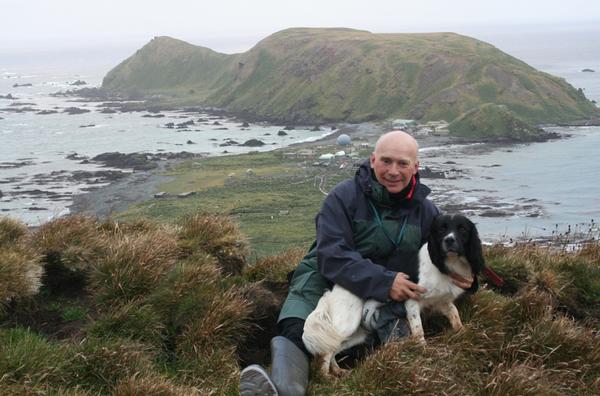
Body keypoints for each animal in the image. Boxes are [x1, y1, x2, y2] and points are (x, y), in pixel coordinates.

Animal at [304, 213, 488, 378]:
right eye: (441, 229)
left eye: (462, 229)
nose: (449, 240)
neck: (446, 265)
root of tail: (332, 292)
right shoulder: (411, 300)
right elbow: (418, 330)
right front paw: (424, 351)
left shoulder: (440, 302)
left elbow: (455, 314)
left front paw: (463, 332)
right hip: (347, 323)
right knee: (326, 351)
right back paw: (326, 377)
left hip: (358, 333)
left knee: (334, 348)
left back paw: (338, 371)